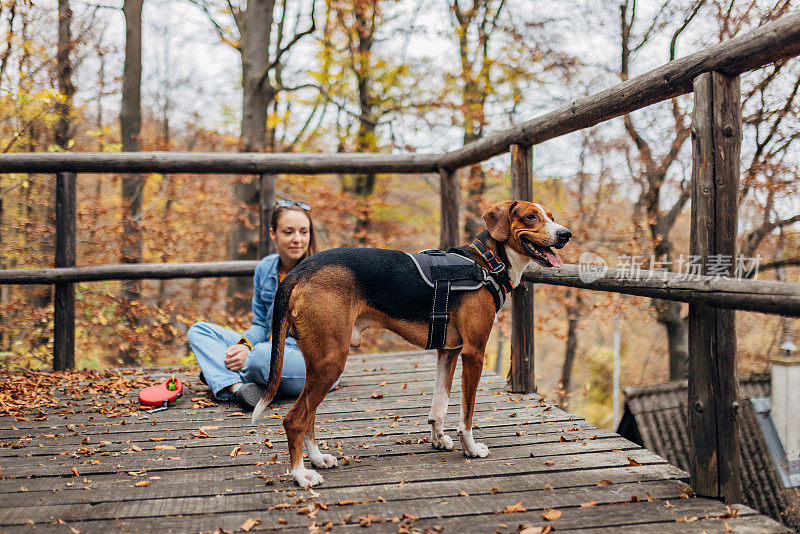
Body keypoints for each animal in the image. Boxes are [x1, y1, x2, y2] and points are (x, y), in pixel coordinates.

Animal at [250, 201, 568, 490]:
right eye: (531, 216)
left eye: (551, 216)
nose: (566, 234)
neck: (488, 262)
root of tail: (301, 269)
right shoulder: (474, 353)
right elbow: (466, 415)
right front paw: (471, 448)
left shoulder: (449, 351)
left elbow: (439, 405)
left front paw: (438, 440)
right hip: (331, 361)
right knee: (295, 419)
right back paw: (300, 475)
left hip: (318, 362)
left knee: (309, 416)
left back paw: (317, 459)